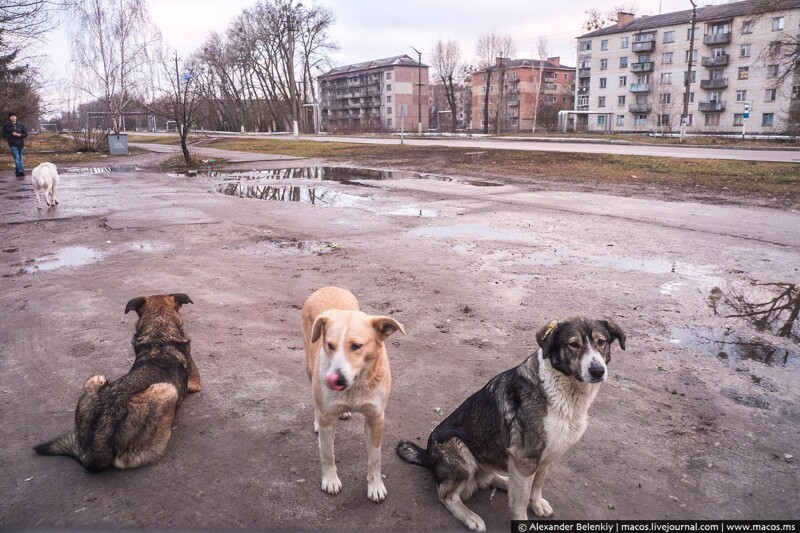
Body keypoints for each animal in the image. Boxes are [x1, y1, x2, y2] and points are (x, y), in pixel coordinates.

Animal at [304, 284, 410, 500]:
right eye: (330, 345)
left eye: (356, 346)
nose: (336, 379)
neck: (354, 386)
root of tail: (328, 286)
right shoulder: (327, 418)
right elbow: (327, 453)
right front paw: (330, 480)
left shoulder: (376, 418)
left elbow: (375, 458)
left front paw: (375, 486)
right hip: (310, 369)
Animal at [396, 316, 628, 528]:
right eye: (573, 344)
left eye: (601, 342)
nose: (598, 371)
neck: (564, 388)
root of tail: (427, 456)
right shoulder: (526, 457)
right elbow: (521, 501)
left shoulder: (543, 456)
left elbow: (537, 485)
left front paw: (537, 503)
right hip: (459, 449)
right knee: (447, 495)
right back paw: (471, 517)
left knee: (490, 478)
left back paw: (506, 481)